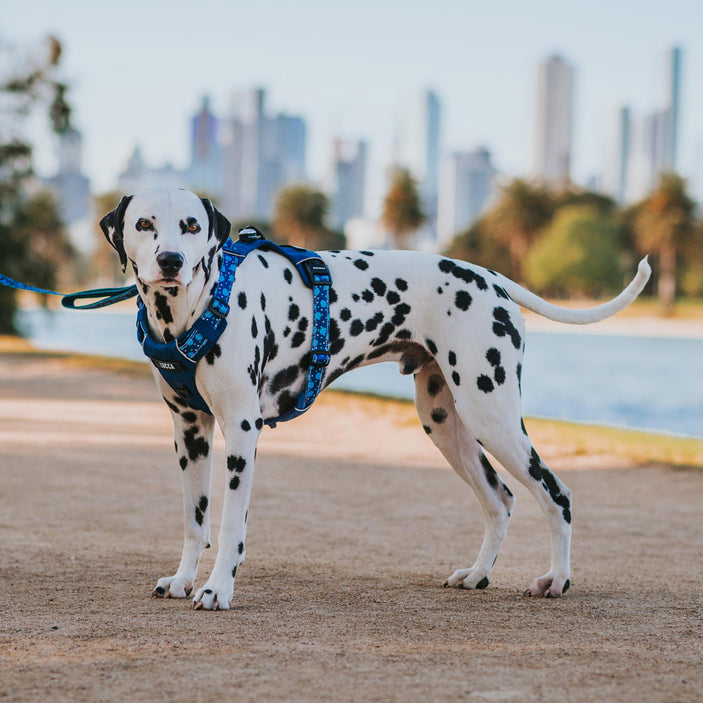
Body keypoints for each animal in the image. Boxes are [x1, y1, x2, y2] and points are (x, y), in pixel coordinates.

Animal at [102, 187, 652, 612]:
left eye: (192, 225)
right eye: (145, 223)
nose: (170, 261)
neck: (194, 308)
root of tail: (492, 278)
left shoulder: (240, 429)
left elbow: (230, 523)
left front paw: (217, 590)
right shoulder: (191, 432)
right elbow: (195, 520)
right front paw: (182, 580)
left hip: (491, 413)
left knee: (556, 494)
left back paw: (556, 580)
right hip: (445, 423)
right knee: (501, 499)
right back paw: (477, 575)